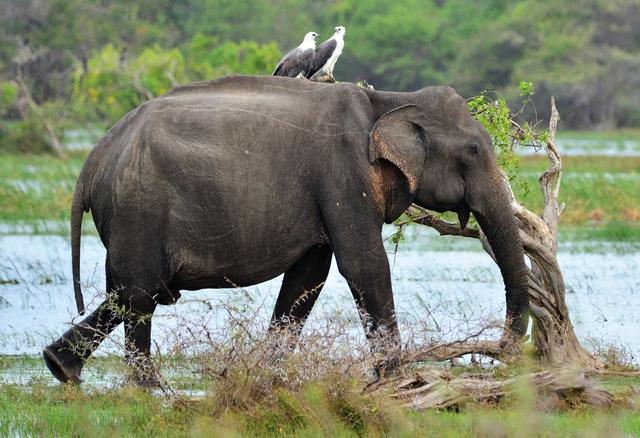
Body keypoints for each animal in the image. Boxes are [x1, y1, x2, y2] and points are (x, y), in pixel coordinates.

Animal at [42, 75, 528, 384]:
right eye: (473, 150)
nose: (503, 352)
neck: (389, 101)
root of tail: (92, 161)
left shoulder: (327, 193)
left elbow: (307, 278)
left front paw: (268, 379)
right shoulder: (343, 175)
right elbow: (364, 267)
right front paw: (399, 381)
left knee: (131, 292)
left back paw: (60, 368)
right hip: (138, 208)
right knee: (141, 293)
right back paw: (150, 392)